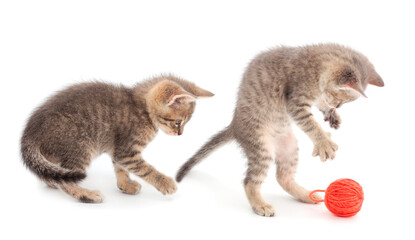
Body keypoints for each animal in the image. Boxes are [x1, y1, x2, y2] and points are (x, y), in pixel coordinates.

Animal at [20, 74, 213, 202]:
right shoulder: (127, 151)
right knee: (67, 182)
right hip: (80, 147)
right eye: (178, 122)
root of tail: (30, 133)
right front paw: (165, 183)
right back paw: (87, 194)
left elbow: (120, 168)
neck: (142, 109)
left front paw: (125, 185)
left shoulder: (119, 150)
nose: (180, 134)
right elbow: (146, 169)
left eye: (185, 123)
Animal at [177, 44, 386, 217]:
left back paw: (306, 195)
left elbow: (320, 105)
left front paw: (331, 115)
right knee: (249, 181)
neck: (314, 65)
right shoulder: (295, 102)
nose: (337, 106)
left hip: (289, 147)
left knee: (283, 177)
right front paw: (323, 141)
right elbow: (310, 123)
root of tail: (235, 125)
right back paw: (260, 205)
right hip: (260, 148)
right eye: (340, 98)